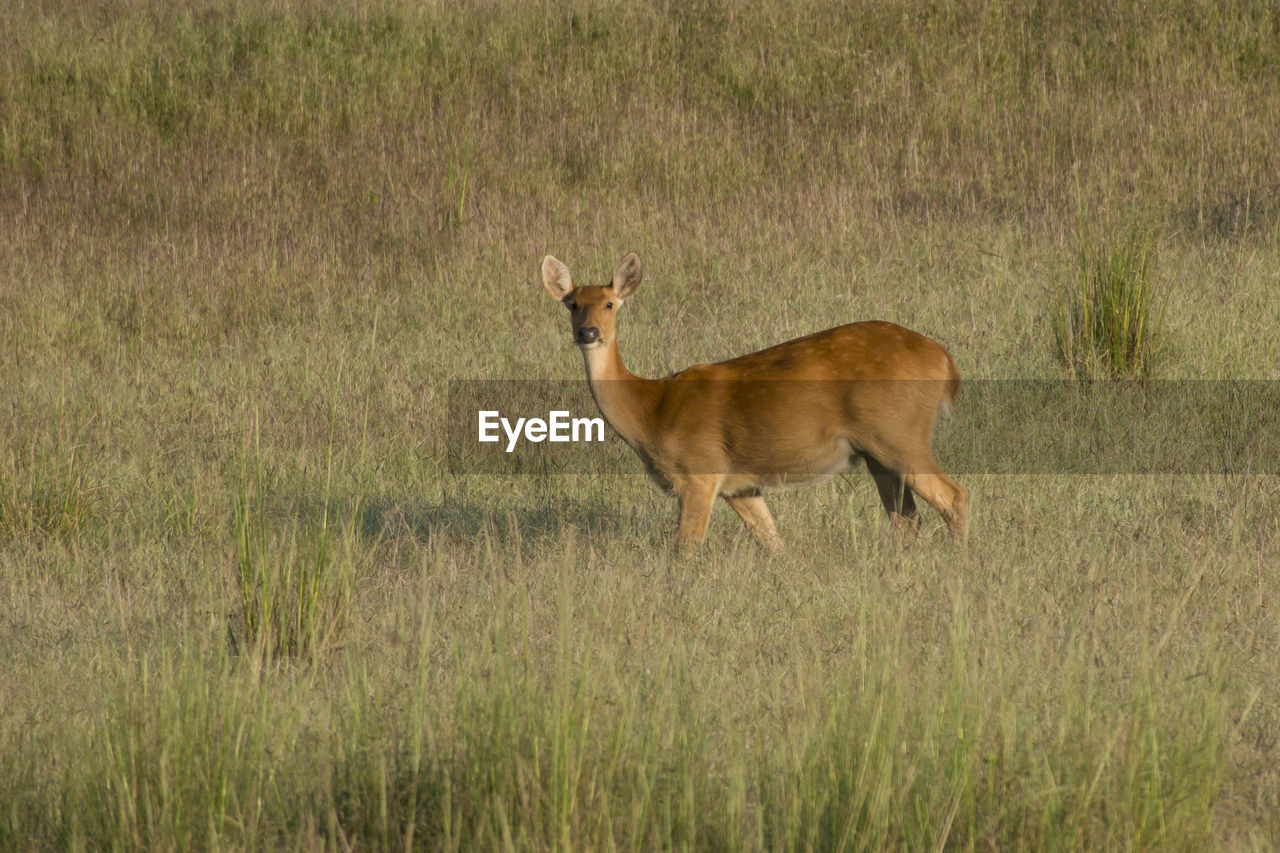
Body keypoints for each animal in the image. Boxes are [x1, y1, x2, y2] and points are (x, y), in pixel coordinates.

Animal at [540, 247, 967, 550]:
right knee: (907, 519)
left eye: (610, 303)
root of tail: (943, 358)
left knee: (954, 496)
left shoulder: (698, 470)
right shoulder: (741, 486)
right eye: (572, 304)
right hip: (878, 452)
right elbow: (774, 544)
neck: (651, 410)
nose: (589, 332)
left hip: (898, 433)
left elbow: (685, 549)